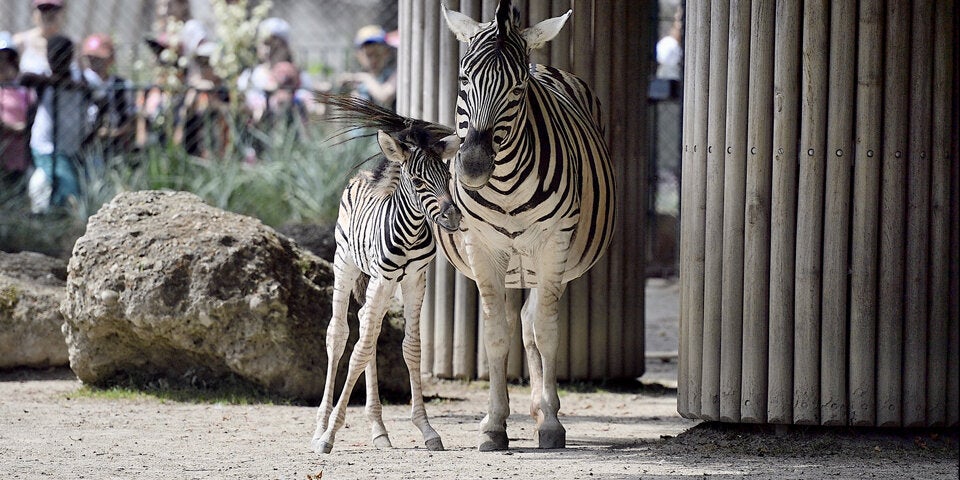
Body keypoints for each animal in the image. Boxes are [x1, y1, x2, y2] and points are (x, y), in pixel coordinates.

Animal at [311, 94, 461, 454]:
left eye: (448, 177)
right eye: (418, 182)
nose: (453, 218)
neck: (412, 229)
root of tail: (366, 173)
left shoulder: (415, 279)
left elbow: (411, 347)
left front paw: (426, 428)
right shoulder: (381, 278)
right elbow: (359, 351)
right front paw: (329, 434)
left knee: (368, 322)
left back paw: (379, 429)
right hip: (346, 263)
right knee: (339, 334)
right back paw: (320, 425)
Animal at [440, 1, 616, 451]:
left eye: (517, 88)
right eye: (463, 79)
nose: (473, 167)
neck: (503, 185)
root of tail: (544, 64)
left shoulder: (554, 244)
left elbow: (547, 332)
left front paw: (551, 424)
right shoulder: (481, 247)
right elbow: (496, 335)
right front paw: (493, 424)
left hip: (552, 261)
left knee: (535, 323)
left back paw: (542, 410)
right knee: (520, 321)